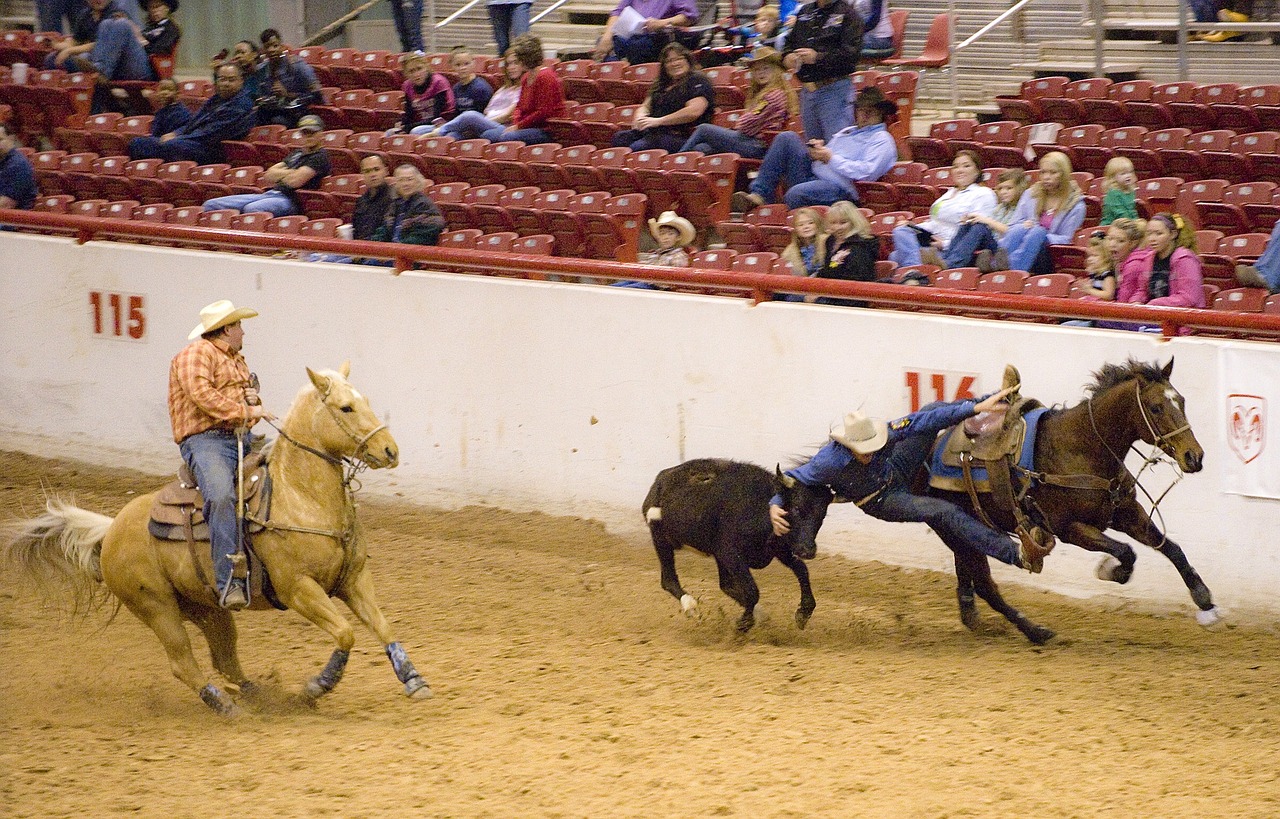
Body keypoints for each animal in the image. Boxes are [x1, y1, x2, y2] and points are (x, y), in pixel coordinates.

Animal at [2, 360, 432, 711]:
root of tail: (111, 531)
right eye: (345, 408)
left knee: (224, 659)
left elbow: (383, 626)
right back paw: (227, 706)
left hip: (208, 608)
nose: (390, 450)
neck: (300, 496)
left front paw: (414, 680)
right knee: (183, 663)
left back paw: (261, 696)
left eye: (366, 401)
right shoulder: (298, 589)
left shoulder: (354, 579)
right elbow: (345, 634)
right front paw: (316, 686)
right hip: (157, 608)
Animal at [931, 360, 1208, 642]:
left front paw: (1203, 597)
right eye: (1156, 407)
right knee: (984, 584)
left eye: (1181, 401)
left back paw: (976, 619)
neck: (1080, 448)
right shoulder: (1069, 529)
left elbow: (1172, 548)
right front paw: (1111, 571)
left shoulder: (1128, 513)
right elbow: (1125, 551)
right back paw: (1035, 631)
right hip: (954, 530)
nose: (1194, 456)